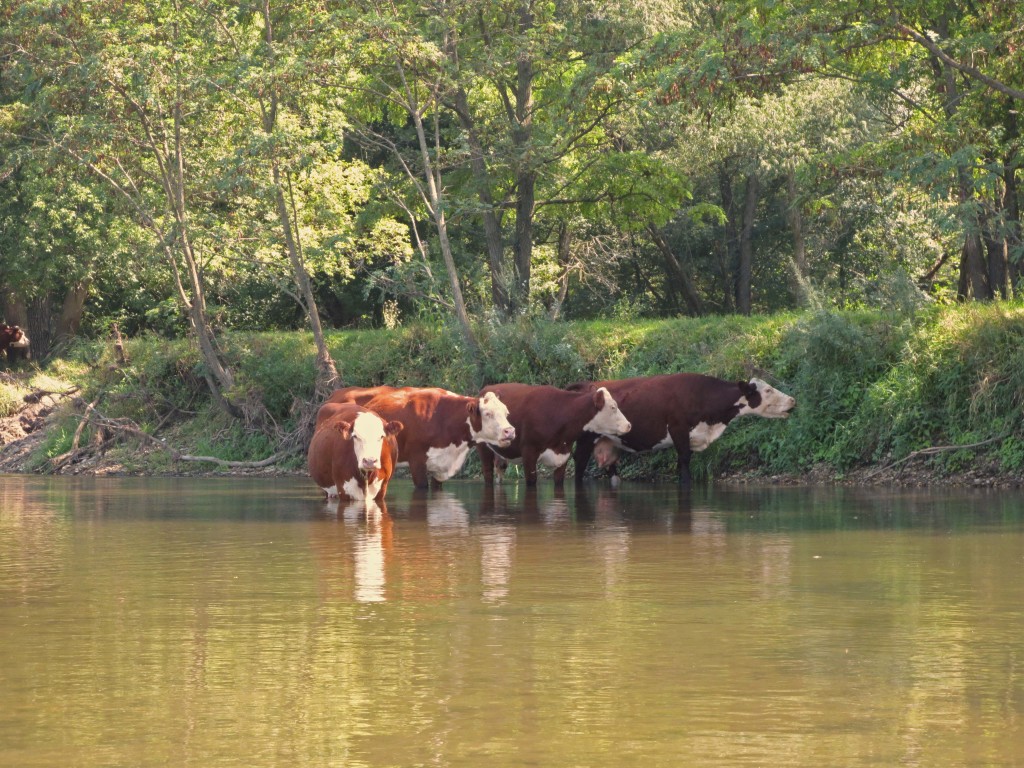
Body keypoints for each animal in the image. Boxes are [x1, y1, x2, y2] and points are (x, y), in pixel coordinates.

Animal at [477, 382, 630, 487]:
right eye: (613, 407)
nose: (628, 425)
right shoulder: (529, 452)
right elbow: (531, 482)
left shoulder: (563, 455)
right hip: (483, 446)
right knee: (487, 473)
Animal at [573, 376, 794, 489]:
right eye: (768, 391)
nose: (792, 399)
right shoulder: (678, 430)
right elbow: (685, 465)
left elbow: (682, 465)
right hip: (585, 440)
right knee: (579, 465)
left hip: (608, 443)